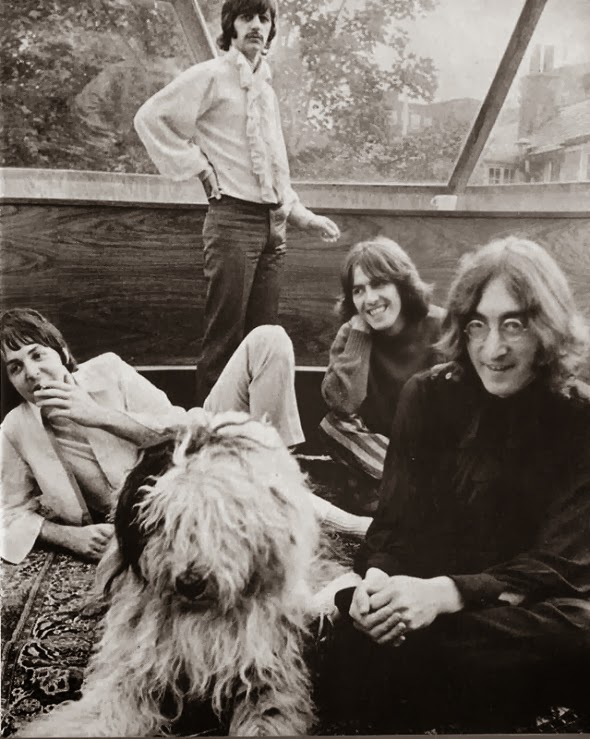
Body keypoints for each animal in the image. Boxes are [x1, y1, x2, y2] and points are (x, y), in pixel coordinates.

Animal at [20, 410, 356, 736]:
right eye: (163, 519)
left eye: (224, 520)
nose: (190, 583)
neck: (202, 615)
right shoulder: (135, 667)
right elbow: (97, 714)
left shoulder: (267, 677)